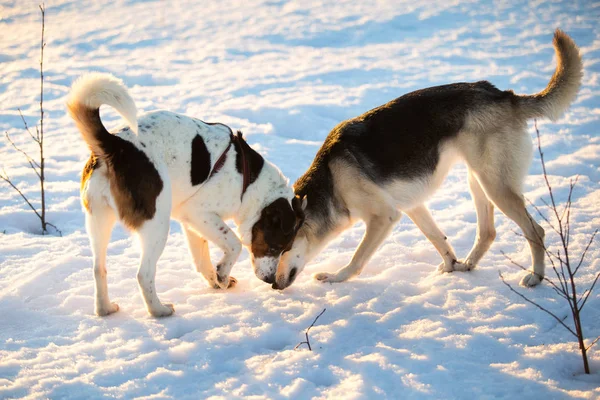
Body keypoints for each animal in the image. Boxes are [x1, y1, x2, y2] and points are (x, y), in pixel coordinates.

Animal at [69, 73, 304, 318]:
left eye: (285, 249)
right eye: (276, 247)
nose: (270, 280)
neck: (248, 183)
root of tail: (115, 146)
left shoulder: (191, 221)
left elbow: (202, 259)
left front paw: (216, 281)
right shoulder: (200, 213)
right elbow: (235, 244)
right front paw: (222, 274)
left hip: (99, 220)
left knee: (98, 268)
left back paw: (105, 308)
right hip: (157, 224)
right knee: (144, 274)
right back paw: (159, 310)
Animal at [266, 28, 580, 290]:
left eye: (280, 250)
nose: (273, 286)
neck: (332, 179)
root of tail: (505, 96)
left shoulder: (383, 217)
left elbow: (357, 259)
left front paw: (336, 277)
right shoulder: (412, 206)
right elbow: (438, 239)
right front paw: (450, 265)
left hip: (496, 187)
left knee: (536, 231)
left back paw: (536, 277)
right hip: (478, 180)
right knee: (488, 232)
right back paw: (469, 264)